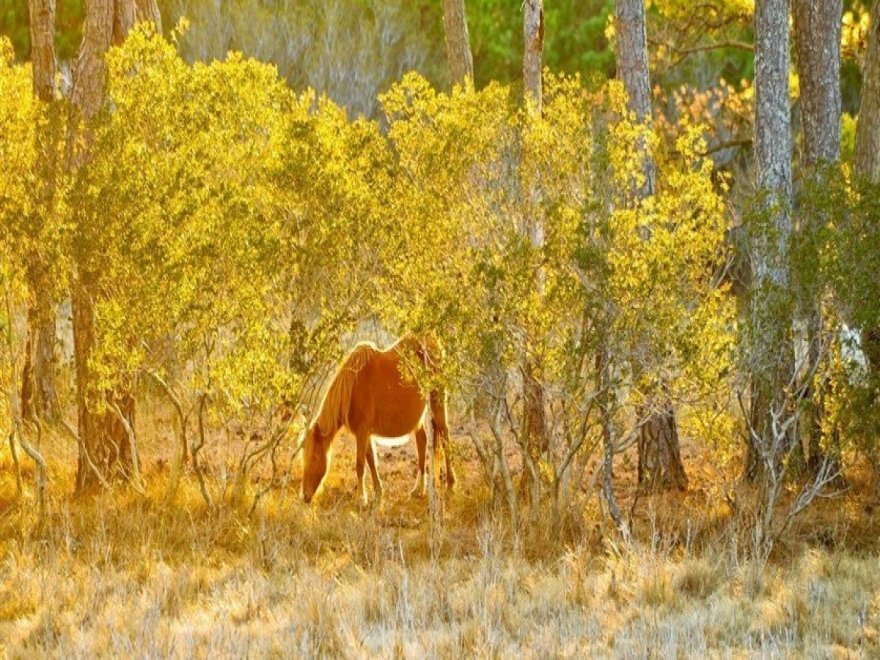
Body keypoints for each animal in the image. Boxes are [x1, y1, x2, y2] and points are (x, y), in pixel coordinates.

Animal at [300, 336, 458, 506]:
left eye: (315, 457)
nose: (305, 496)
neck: (354, 386)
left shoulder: (362, 432)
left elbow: (360, 464)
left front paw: (361, 498)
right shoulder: (364, 433)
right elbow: (371, 460)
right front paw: (378, 492)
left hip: (437, 403)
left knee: (445, 438)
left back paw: (450, 486)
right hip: (420, 419)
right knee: (422, 443)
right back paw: (419, 489)